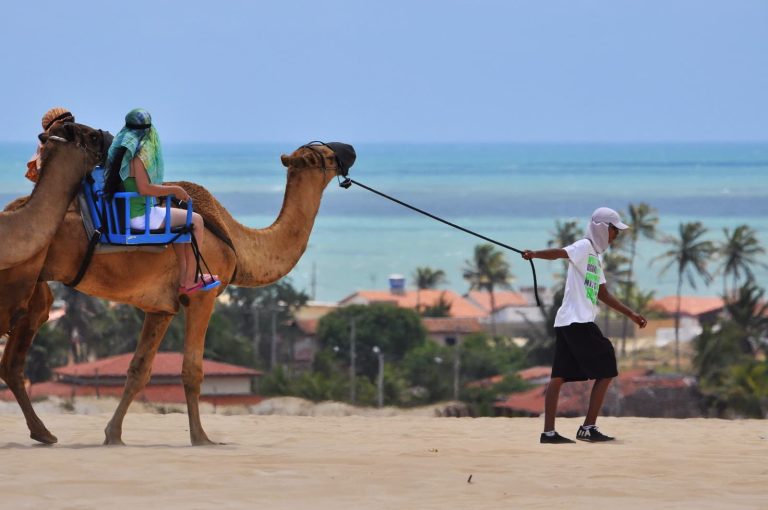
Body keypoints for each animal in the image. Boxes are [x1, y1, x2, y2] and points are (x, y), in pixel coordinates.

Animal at [0, 140, 354, 446]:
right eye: (325, 155)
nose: (350, 150)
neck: (238, 245)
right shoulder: (202, 296)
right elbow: (192, 370)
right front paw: (202, 438)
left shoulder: (161, 308)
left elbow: (139, 370)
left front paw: (113, 434)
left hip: (34, 289)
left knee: (14, 359)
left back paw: (44, 433)